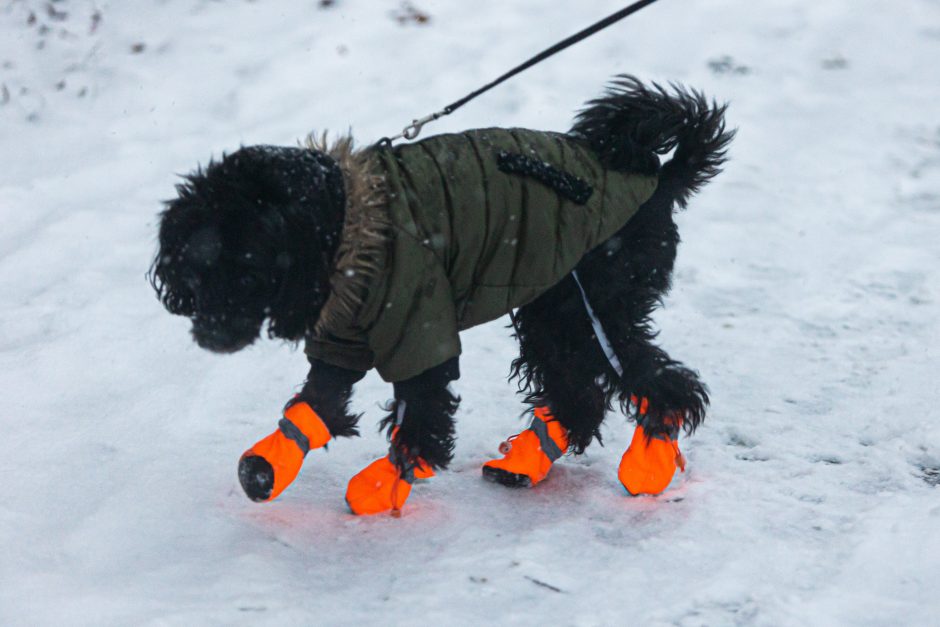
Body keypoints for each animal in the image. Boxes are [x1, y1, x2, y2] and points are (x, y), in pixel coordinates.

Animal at [149, 76, 736, 512]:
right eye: (197, 273)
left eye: (247, 271)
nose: (208, 335)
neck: (345, 220)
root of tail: (659, 179)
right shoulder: (345, 335)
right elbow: (316, 402)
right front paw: (268, 464)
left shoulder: (418, 327)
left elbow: (420, 416)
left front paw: (384, 486)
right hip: (552, 302)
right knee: (581, 392)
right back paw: (525, 464)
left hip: (594, 296)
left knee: (658, 382)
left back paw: (650, 463)